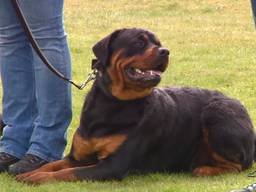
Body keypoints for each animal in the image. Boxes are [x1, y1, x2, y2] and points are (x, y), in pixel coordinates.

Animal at [17, 27, 255, 184]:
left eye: (158, 43)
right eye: (139, 42)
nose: (165, 51)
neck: (112, 104)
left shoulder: (112, 166)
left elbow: (64, 173)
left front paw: (37, 177)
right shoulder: (77, 157)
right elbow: (54, 165)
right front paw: (29, 172)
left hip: (217, 114)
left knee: (238, 165)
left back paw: (203, 169)